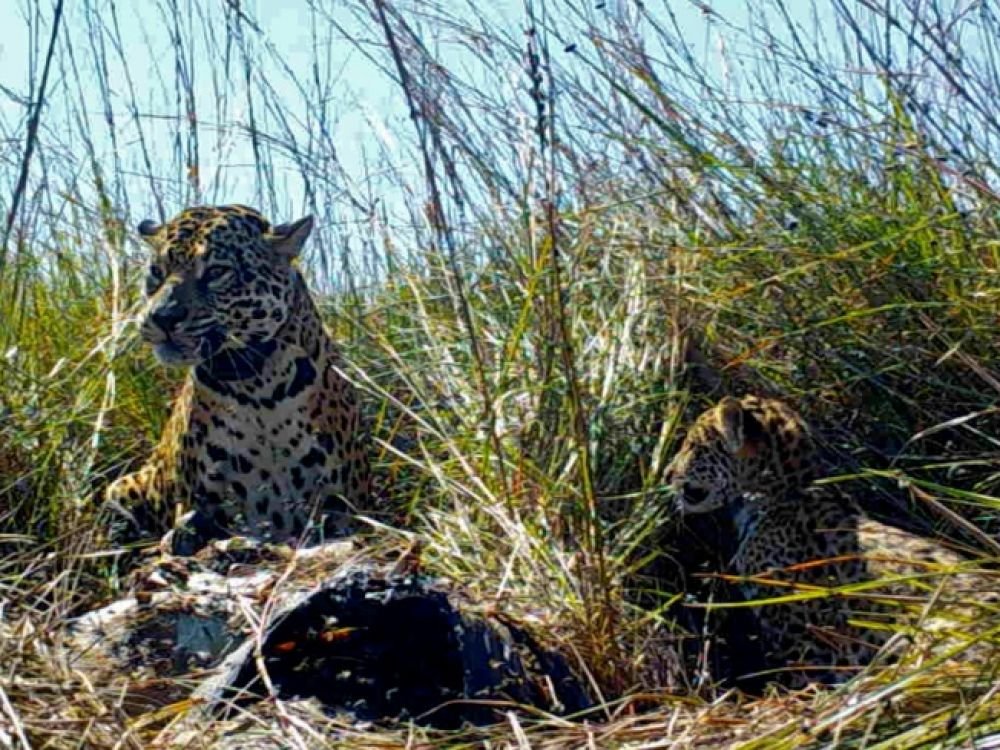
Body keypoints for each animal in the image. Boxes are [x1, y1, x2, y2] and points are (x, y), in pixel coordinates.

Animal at [104, 205, 369, 555]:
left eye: (216, 272)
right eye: (157, 272)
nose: (161, 317)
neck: (257, 385)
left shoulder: (339, 500)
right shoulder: (203, 498)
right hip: (124, 485)